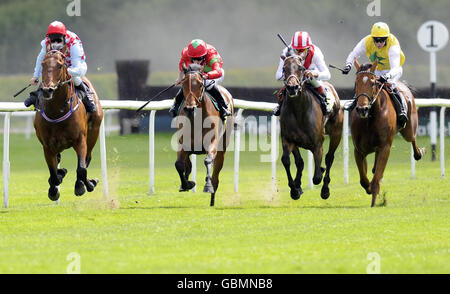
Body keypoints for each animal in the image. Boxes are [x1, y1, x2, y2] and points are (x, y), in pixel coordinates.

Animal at [33, 48, 103, 201]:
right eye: (43, 64)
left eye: (60, 65)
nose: (47, 90)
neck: (57, 112)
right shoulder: (47, 146)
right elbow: (53, 174)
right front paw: (54, 188)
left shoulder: (80, 140)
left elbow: (82, 169)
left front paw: (85, 185)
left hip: (93, 133)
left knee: (87, 158)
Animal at [174, 63, 234, 207]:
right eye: (183, 84)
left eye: (201, 84)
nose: (190, 108)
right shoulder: (183, 143)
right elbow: (179, 164)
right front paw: (187, 184)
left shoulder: (212, 142)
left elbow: (208, 160)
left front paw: (207, 186)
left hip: (223, 148)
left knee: (216, 175)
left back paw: (212, 199)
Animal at [278, 51, 344, 201]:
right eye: (284, 68)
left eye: (301, 68)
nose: (292, 87)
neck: (299, 111)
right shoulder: (288, 139)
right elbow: (288, 161)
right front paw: (295, 189)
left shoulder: (317, 144)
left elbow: (317, 177)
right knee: (301, 162)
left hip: (336, 133)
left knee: (329, 158)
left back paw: (325, 189)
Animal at [352, 58, 426, 207]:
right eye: (356, 83)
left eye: (373, 83)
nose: (362, 109)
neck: (370, 118)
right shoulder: (358, 150)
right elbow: (363, 180)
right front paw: (369, 187)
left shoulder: (385, 147)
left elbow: (375, 180)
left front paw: (374, 201)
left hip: (409, 129)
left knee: (412, 138)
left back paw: (419, 153)